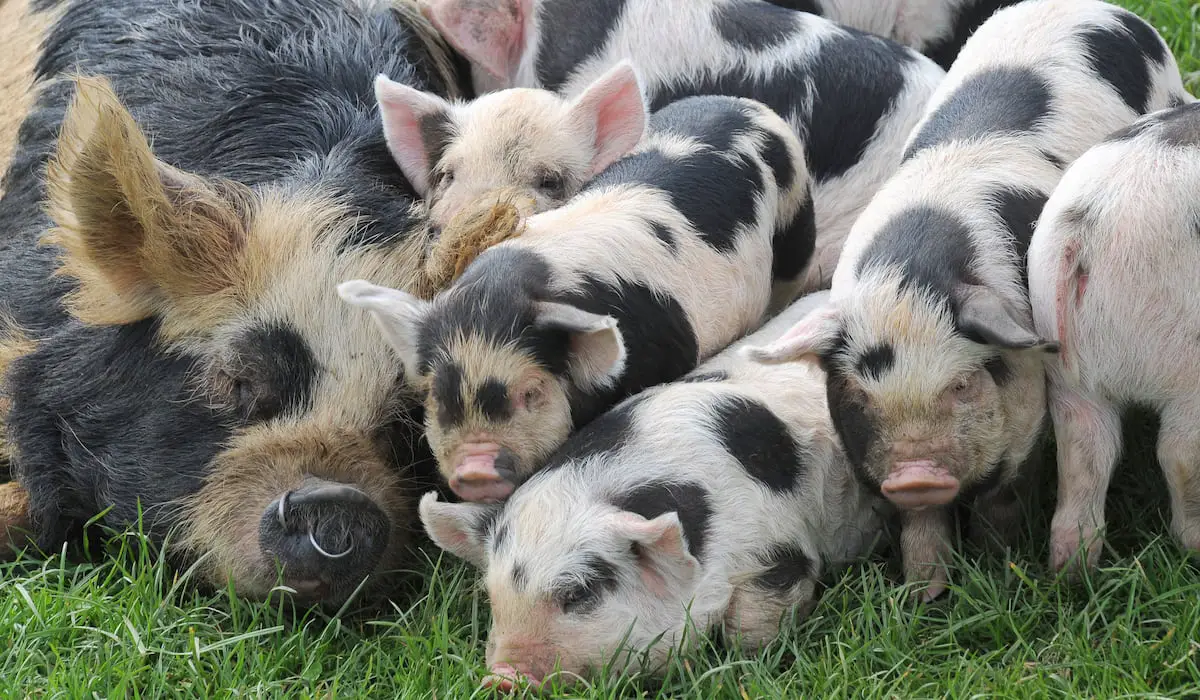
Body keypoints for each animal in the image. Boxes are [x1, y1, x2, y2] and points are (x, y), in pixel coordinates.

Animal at [418, 290, 886, 689]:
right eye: (493, 596)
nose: (503, 678)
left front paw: (745, 667)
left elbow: (755, 619)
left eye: (578, 593)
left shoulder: (782, 549)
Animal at [1027, 101, 1200, 575]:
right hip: (1185, 358)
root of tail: (1084, 230)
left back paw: (1072, 573)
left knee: (1084, 452)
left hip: (1063, 363)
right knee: (1178, 454)